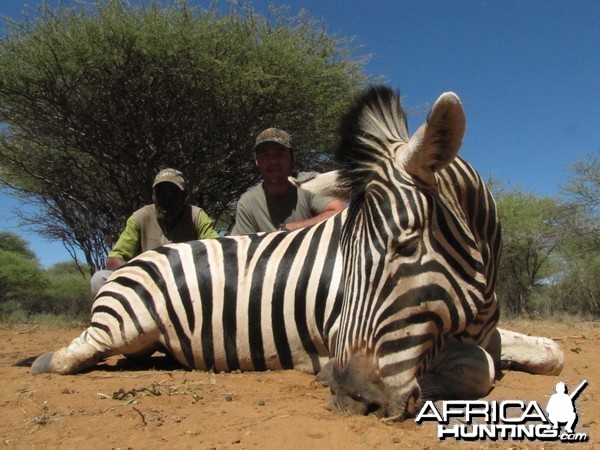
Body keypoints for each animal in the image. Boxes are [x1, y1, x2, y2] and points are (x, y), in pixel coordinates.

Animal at [28, 85, 564, 418]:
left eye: (407, 245)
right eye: (344, 257)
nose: (351, 398)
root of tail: (135, 263)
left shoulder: (486, 332)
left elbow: (550, 354)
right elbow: (479, 369)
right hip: (124, 324)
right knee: (66, 357)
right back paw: (46, 361)